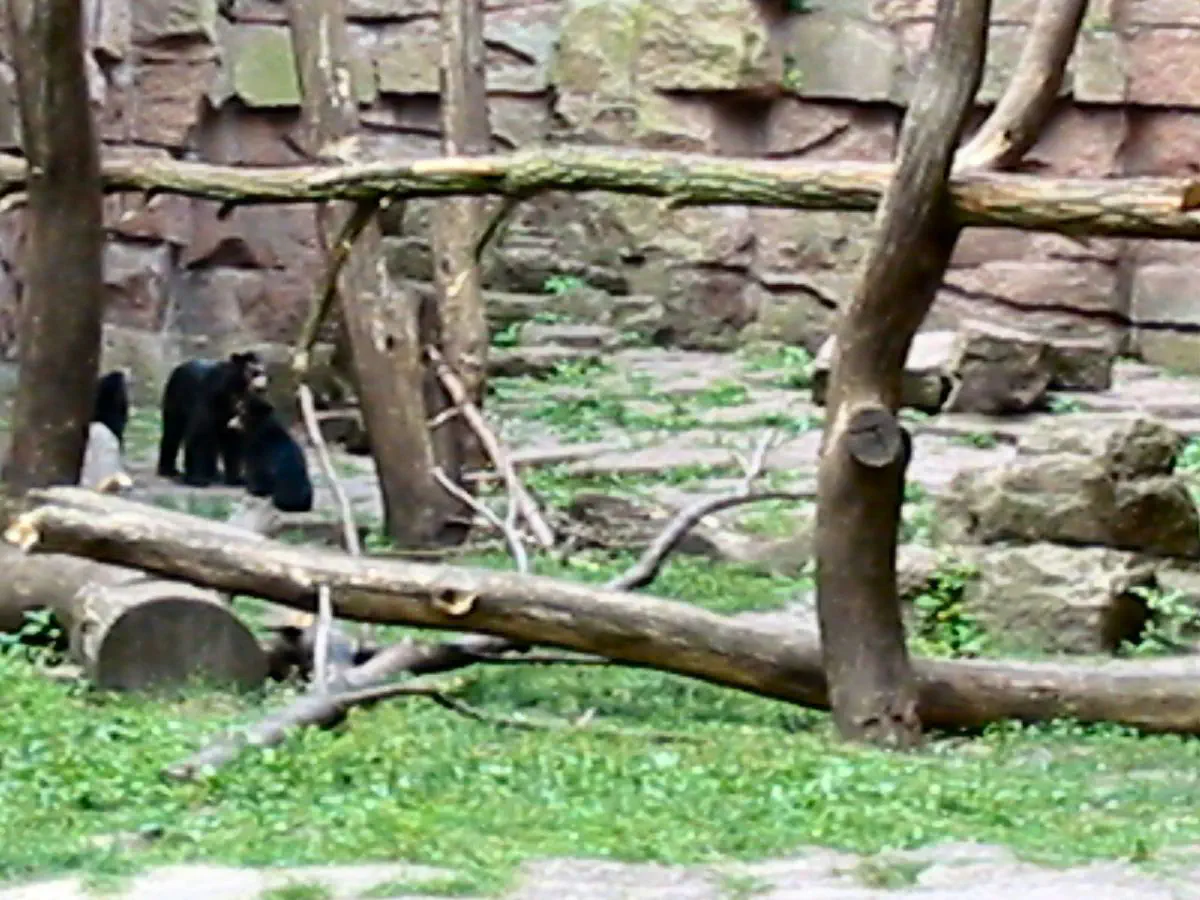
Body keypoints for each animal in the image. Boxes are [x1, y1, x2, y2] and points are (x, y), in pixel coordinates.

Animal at [156, 351, 268, 488]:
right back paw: (169, 470)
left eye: (263, 372)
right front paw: (199, 479)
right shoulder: (207, 397)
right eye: (254, 372)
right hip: (175, 399)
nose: (262, 388)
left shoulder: (235, 411)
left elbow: (234, 439)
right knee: (173, 431)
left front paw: (237, 479)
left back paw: (212, 473)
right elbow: (200, 434)